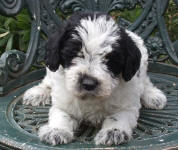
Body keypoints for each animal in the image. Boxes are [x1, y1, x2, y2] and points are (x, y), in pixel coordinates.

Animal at [23, 12, 167, 146]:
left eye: (110, 60)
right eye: (74, 53)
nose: (88, 83)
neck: (91, 98)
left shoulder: (127, 105)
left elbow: (118, 116)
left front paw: (113, 132)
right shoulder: (63, 102)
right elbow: (61, 114)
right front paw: (57, 130)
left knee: (145, 82)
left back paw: (153, 96)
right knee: (48, 82)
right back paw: (37, 93)